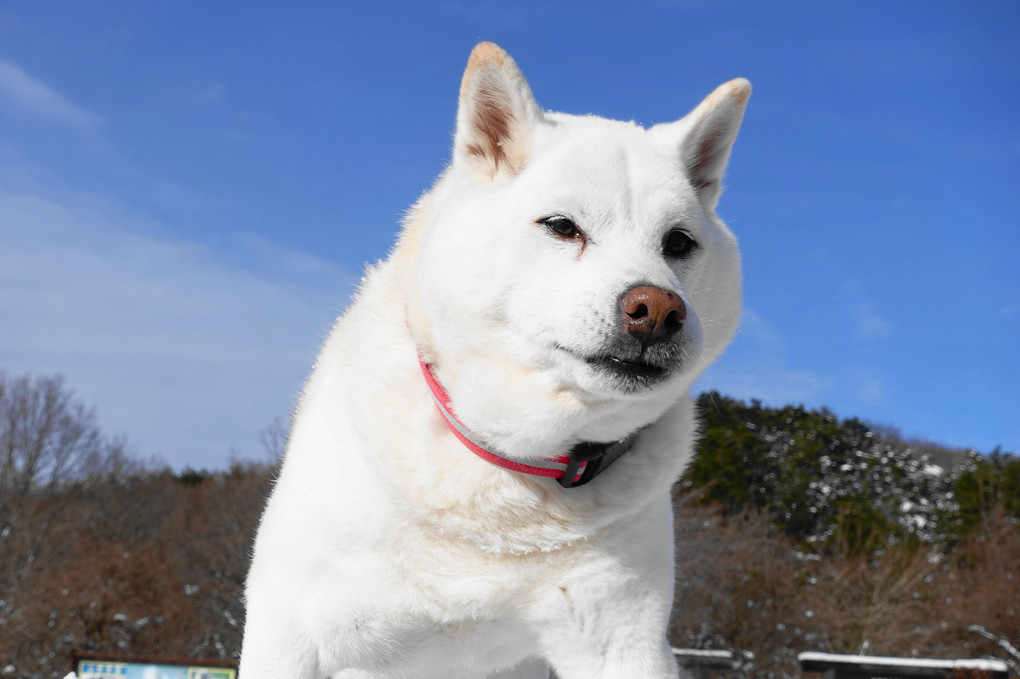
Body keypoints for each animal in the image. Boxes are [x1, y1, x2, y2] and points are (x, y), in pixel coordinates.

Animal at [240, 43, 750, 676]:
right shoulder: (290, 630)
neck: (508, 463)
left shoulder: (624, 641)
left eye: (679, 243)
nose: (657, 311)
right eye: (562, 226)